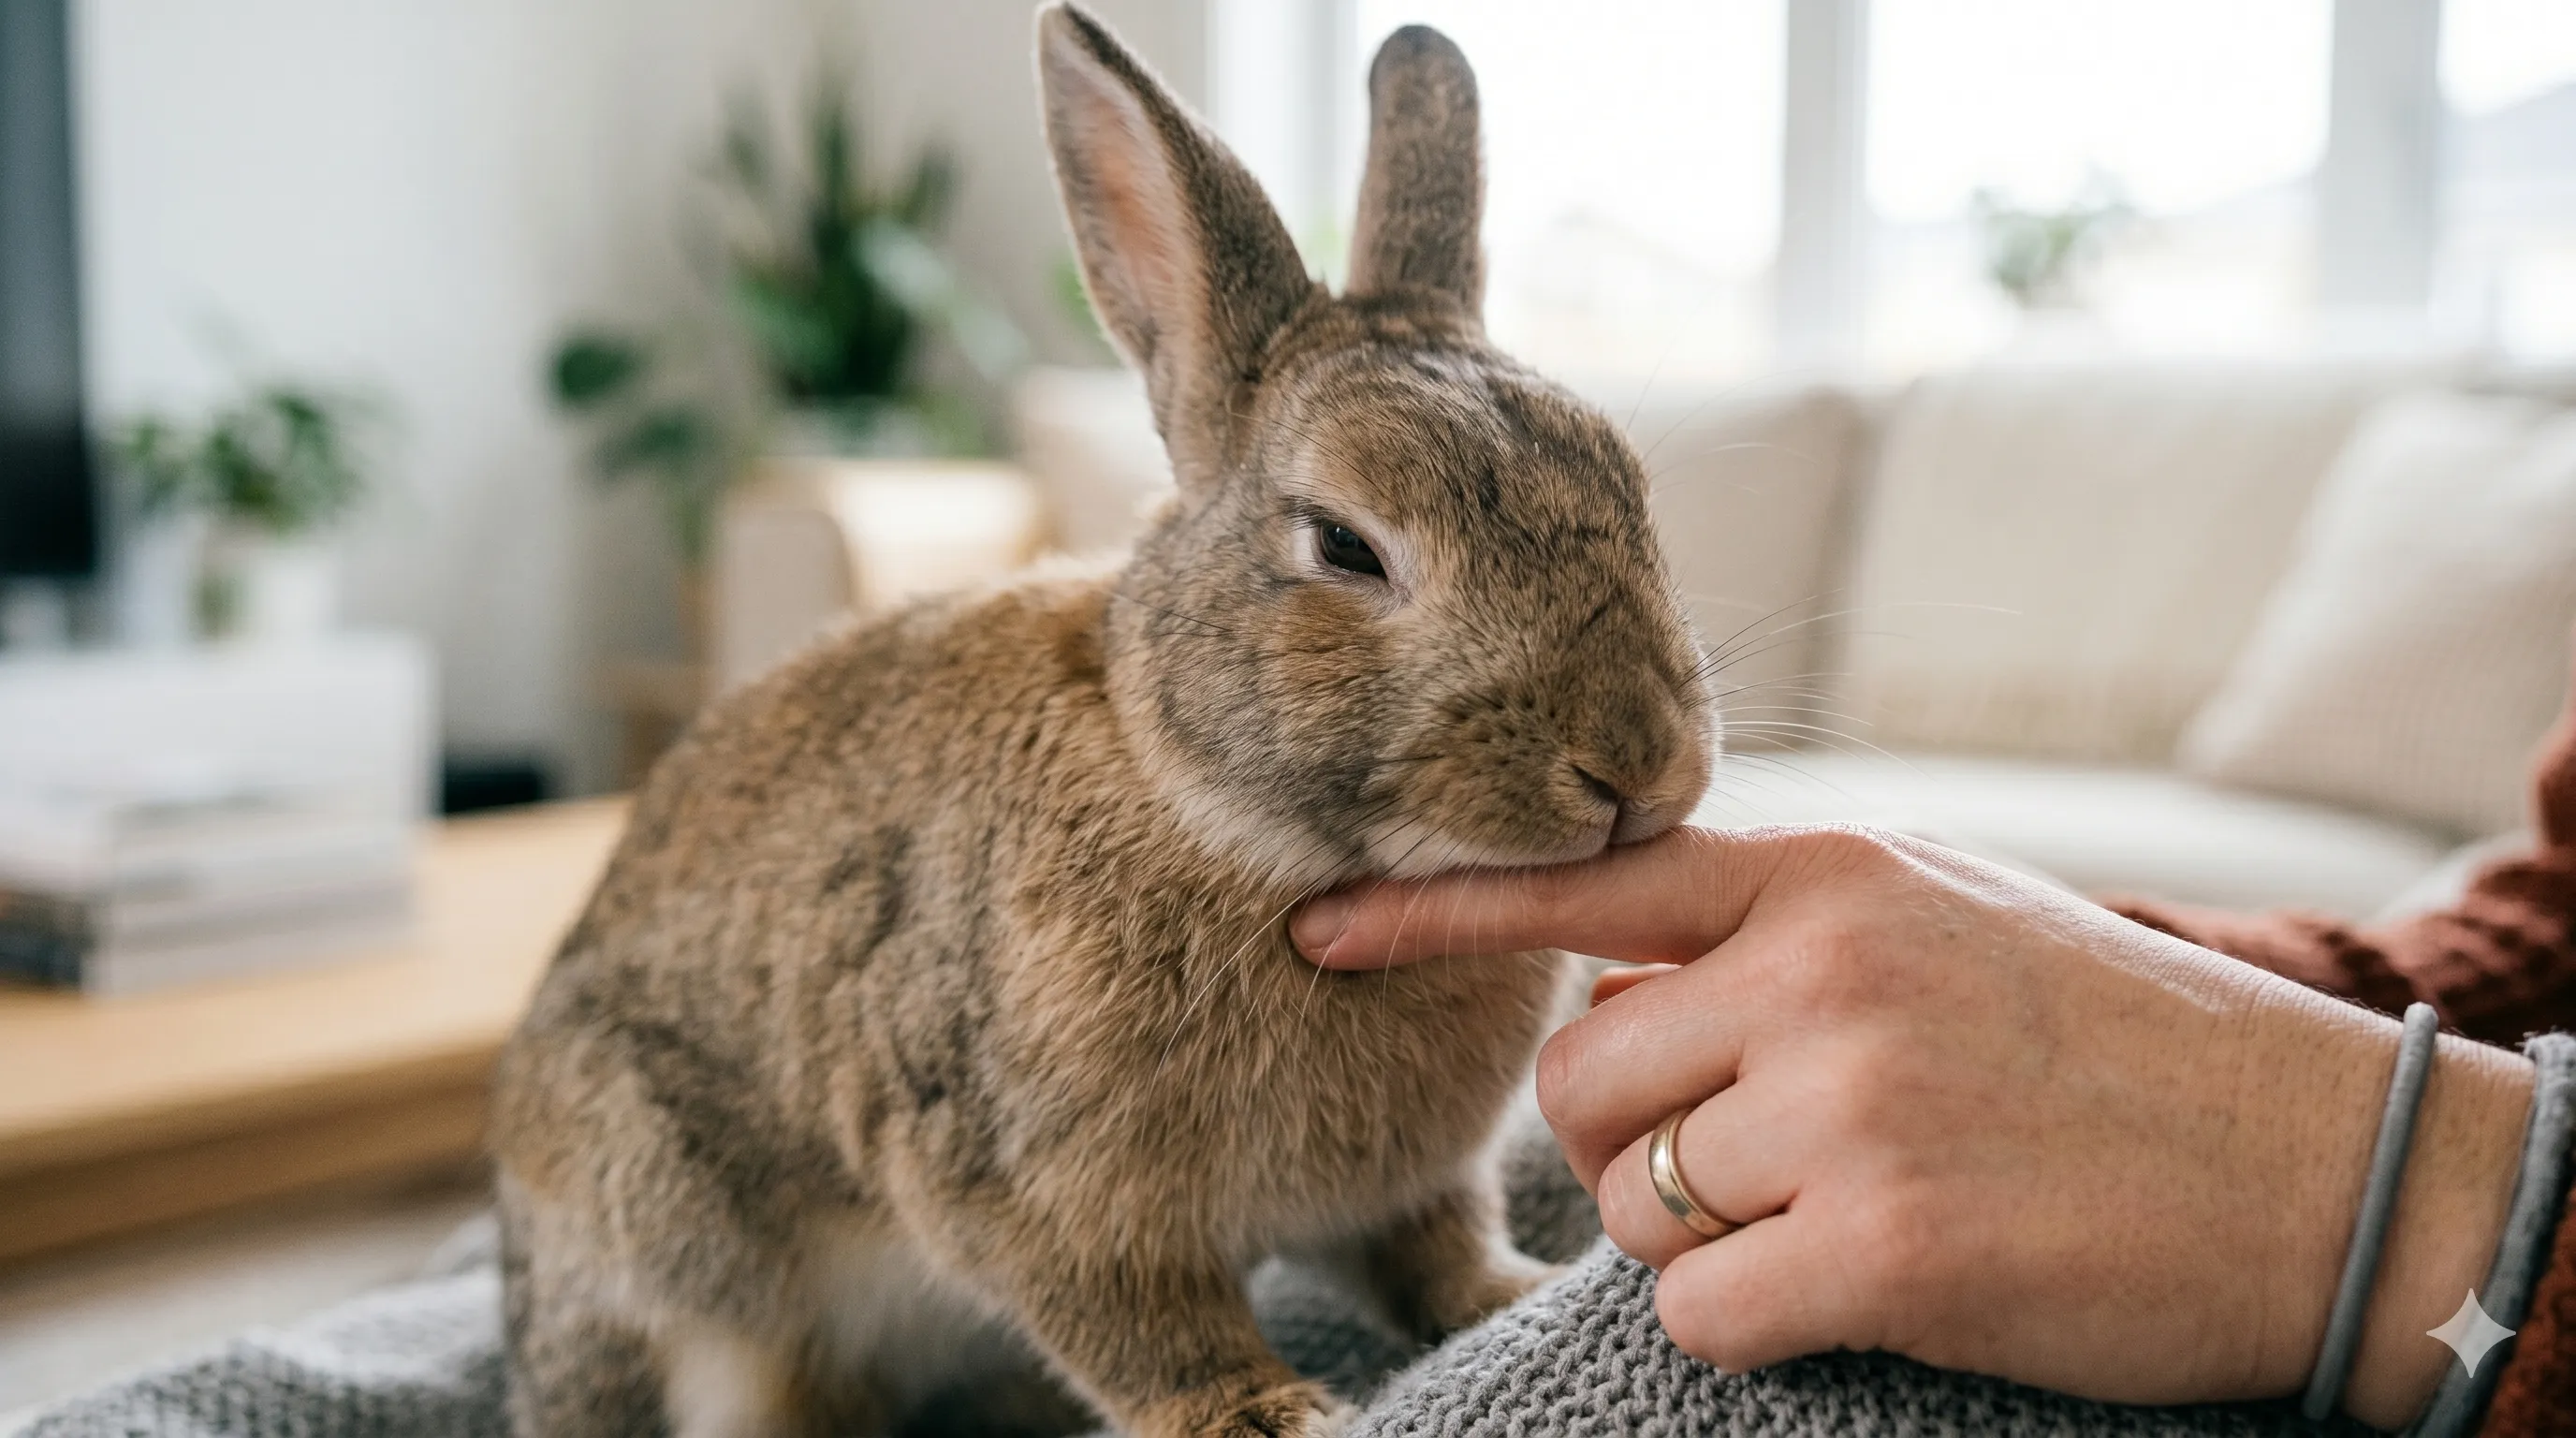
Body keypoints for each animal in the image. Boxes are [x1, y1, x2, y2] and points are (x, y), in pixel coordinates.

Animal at [488, 5, 1715, 1436]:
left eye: (1629, 488)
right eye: (1345, 545)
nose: (1638, 764)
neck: (1219, 817)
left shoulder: (1406, 1188)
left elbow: (1431, 1253)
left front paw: (1508, 1298)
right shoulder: (1020, 1175)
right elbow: (1142, 1324)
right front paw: (1266, 1413)